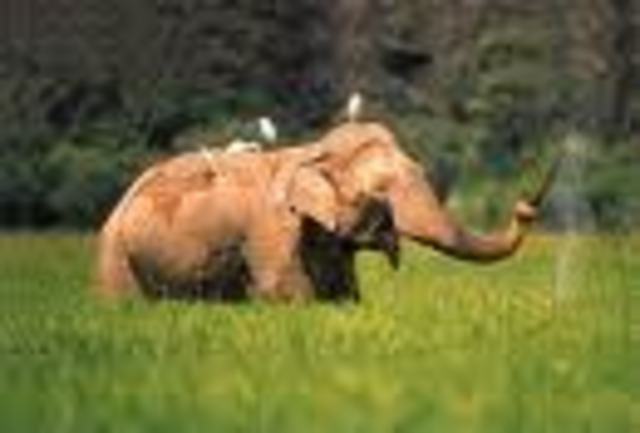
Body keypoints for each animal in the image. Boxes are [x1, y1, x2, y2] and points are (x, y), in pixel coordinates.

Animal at [95, 120, 554, 302]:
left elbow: (344, 294)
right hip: (114, 254)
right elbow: (285, 294)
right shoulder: (274, 231)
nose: (526, 206)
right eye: (382, 191)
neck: (315, 150)